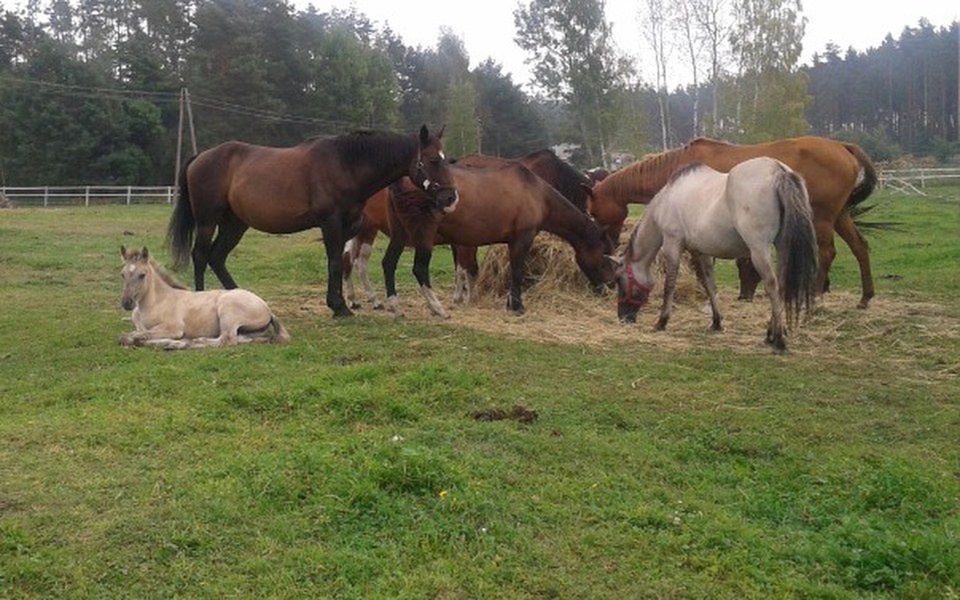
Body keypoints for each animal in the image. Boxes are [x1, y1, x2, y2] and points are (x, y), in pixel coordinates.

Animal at [118, 246, 288, 350]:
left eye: (142, 275)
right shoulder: (141, 327)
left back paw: (190, 342)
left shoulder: (174, 327)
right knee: (243, 339)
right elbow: (137, 335)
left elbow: (128, 337)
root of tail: (267, 308)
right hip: (250, 331)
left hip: (228, 311)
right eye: (123, 274)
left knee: (227, 340)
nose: (127, 303)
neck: (157, 302)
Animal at [167, 124, 460, 316]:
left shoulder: (348, 226)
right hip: (208, 221)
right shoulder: (330, 222)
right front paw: (340, 307)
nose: (451, 198)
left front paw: (339, 302)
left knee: (217, 257)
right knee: (201, 255)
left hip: (235, 224)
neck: (345, 164)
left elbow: (339, 262)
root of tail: (201, 156)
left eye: (446, 159)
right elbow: (334, 263)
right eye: (432, 160)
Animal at [580, 137, 880, 310]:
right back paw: (865, 297)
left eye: (593, 211)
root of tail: (842, 146)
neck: (677, 169)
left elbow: (700, 267)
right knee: (860, 247)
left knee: (828, 253)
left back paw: (816, 295)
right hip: (840, 216)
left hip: (822, 218)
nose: (608, 241)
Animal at [616, 156, 816, 352]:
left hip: (759, 250)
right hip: (781, 246)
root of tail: (778, 170)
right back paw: (771, 333)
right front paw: (717, 322)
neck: (667, 199)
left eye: (620, 280)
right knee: (781, 285)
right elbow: (709, 284)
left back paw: (779, 340)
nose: (623, 317)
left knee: (772, 285)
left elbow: (670, 284)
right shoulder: (703, 252)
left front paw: (662, 321)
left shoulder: (672, 244)